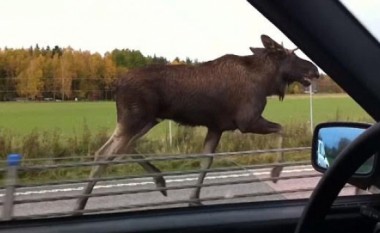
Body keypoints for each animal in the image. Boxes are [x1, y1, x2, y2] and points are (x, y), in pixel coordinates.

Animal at [73, 34, 318, 211]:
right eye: (289, 54)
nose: (314, 69)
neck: (266, 82)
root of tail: (116, 86)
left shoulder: (217, 127)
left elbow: (205, 161)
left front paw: (194, 198)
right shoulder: (246, 121)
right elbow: (282, 129)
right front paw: (275, 172)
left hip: (147, 120)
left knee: (117, 149)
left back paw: (158, 181)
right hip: (136, 119)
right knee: (107, 153)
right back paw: (80, 204)